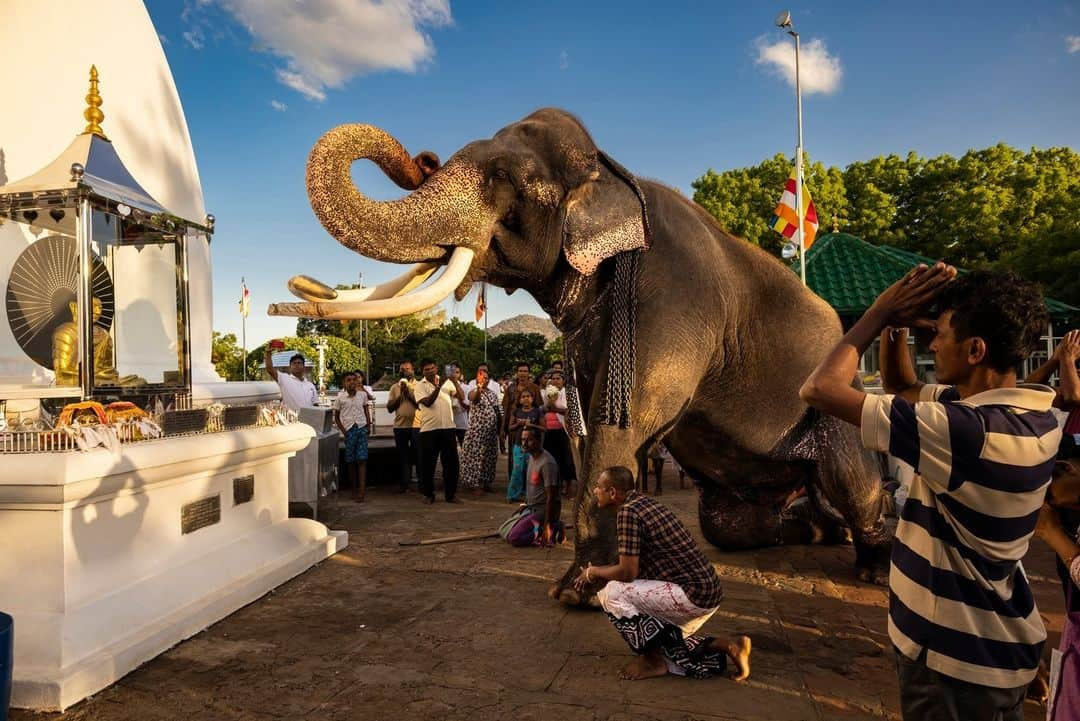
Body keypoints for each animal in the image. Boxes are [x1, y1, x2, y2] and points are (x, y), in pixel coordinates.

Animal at [272, 106, 894, 604]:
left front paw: (578, 593)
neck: (611, 172)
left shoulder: (675, 298)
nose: (422, 158)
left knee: (852, 481)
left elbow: (626, 417)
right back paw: (816, 529)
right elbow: (584, 424)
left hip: (836, 409)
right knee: (728, 523)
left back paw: (870, 565)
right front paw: (582, 578)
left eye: (502, 178)